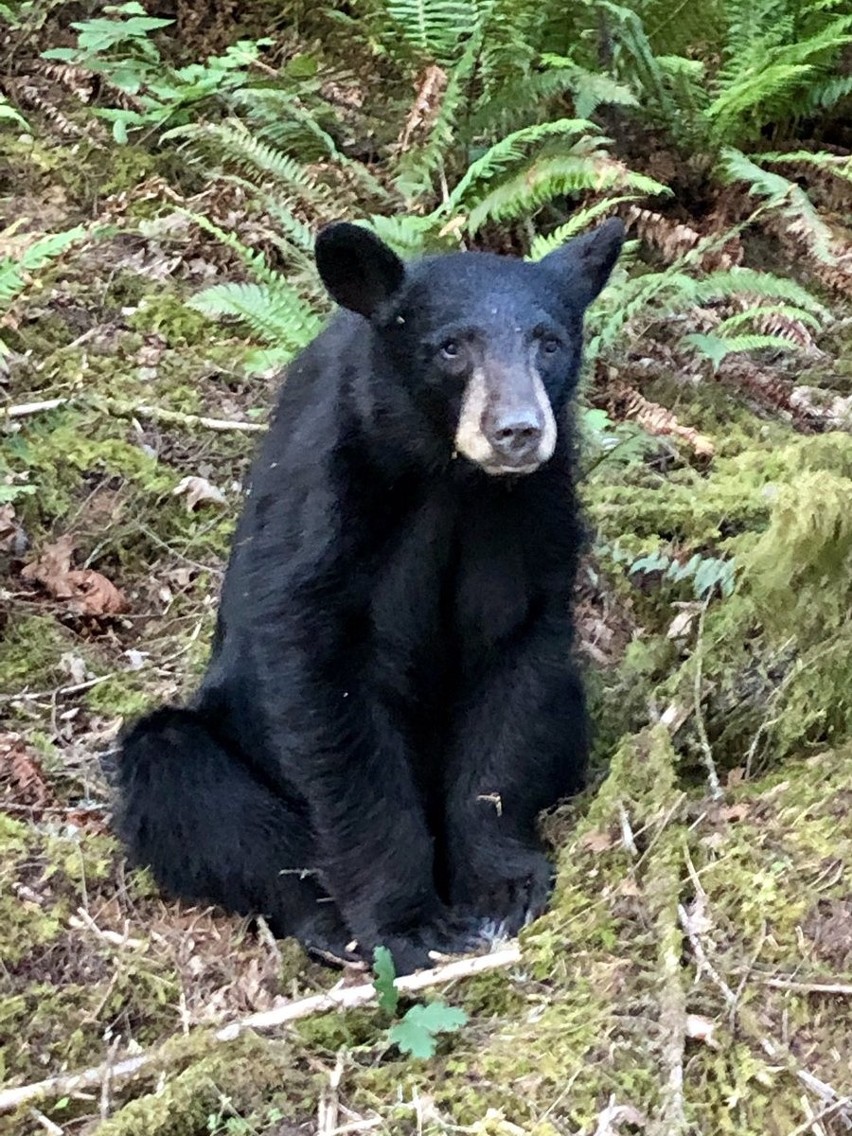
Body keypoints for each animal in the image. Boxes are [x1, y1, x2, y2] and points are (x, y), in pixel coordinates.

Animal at [115, 216, 627, 972]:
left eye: (550, 342)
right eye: (451, 346)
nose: (518, 431)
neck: (449, 477)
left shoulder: (532, 514)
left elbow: (516, 665)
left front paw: (500, 885)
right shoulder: (330, 503)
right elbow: (328, 696)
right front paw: (408, 921)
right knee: (179, 777)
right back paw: (325, 917)